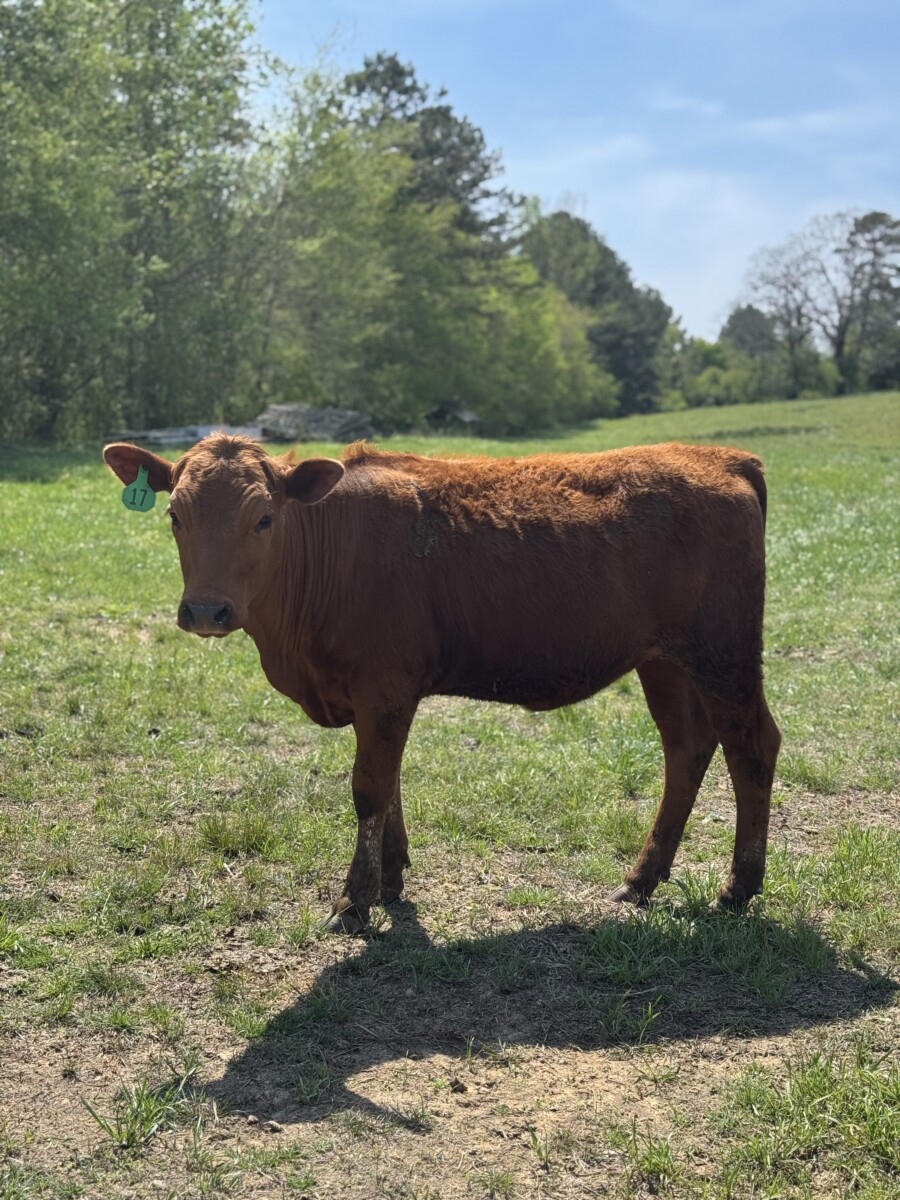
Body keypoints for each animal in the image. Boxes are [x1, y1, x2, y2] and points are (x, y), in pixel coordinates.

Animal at [103, 436, 781, 933]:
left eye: (264, 518)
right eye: (175, 515)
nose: (206, 611)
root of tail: (722, 456)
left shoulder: (384, 688)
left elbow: (369, 789)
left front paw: (354, 900)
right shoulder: (383, 697)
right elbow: (390, 784)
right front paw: (392, 878)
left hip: (724, 654)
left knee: (752, 746)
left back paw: (737, 887)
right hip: (665, 660)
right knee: (686, 749)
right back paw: (641, 878)